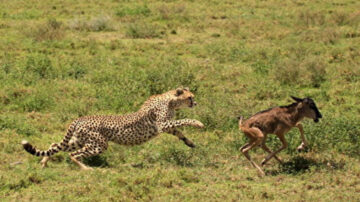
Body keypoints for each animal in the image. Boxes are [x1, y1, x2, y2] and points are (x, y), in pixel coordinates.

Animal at [21, 87, 202, 170]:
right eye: (190, 97)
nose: (195, 103)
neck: (170, 100)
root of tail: (80, 118)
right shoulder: (161, 125)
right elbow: (183, 121)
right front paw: (198, 123)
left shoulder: (165, 127)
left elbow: (179, 131)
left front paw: (190, 143)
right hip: (99, 144)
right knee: (73, 154)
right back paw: (86, 169)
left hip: (79, 140)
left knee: (54, 145)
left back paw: (44, 163)